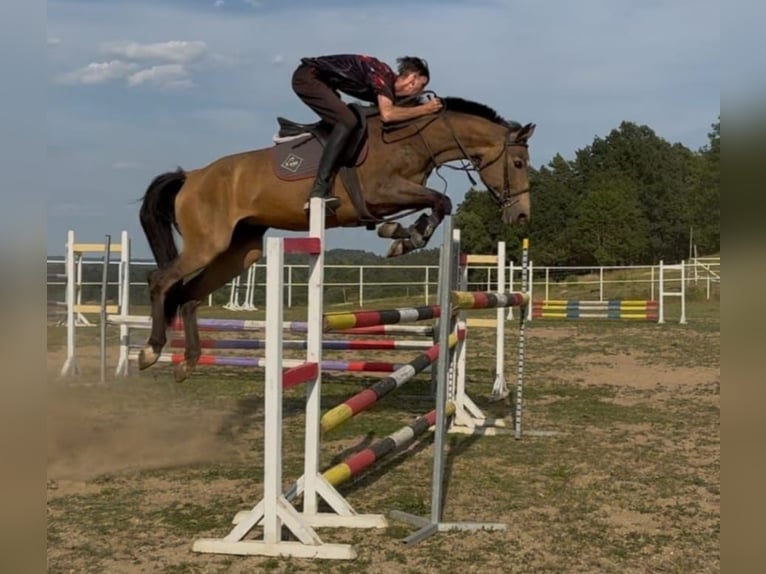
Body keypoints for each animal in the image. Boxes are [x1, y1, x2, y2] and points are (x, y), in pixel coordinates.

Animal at [137, 96, 535, 382]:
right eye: (517, 164)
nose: (521, 216)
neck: (414, 140)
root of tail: (191, 176)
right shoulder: (381, 192)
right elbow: (441, 200)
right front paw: (404, 237)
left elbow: (437, 203)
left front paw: (402, 235)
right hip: (208, 243)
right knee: (161, 281)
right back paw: (150, 351)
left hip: (240, 251)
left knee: (190, 297)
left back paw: (188, 362)